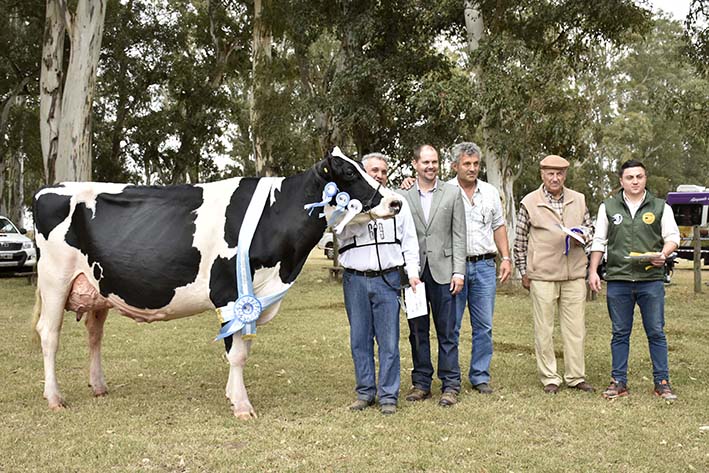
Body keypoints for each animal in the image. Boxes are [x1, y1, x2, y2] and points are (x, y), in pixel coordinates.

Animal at [33, 148, 402, 416]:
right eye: (350, 173)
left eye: (367, 168)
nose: (395, 201)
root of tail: (52, 187)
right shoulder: (231, 293)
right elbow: (236, 353)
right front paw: (242, 405)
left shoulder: (253, 299)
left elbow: (243, 349)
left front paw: (231, 394)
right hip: (54, 279)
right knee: (49, 335)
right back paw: (54, 398)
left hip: (97, 288)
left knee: (94, 335)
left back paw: (98, 386)